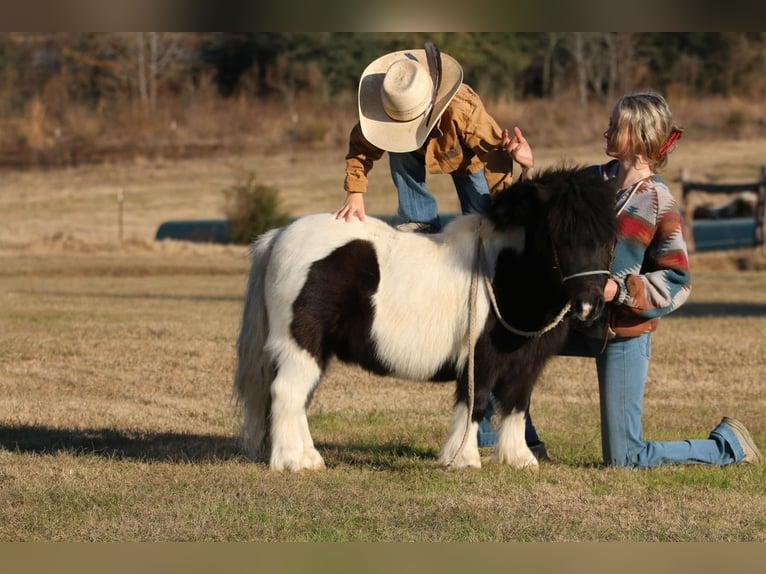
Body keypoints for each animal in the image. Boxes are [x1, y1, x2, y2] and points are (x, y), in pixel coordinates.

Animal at [234, 165, 616, 472]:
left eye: (609, 239)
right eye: (559, 236)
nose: (590, 305)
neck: (503, 272)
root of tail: (279, 236)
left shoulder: (525, 363)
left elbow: (516, 406)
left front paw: (519, 460)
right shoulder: (481, 359)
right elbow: (475, 403)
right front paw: (463, 459)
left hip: (314, 350)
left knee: (298, 397)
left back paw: (308, 458)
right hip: (299, 345)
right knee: (286, 392)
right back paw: (293, 462)